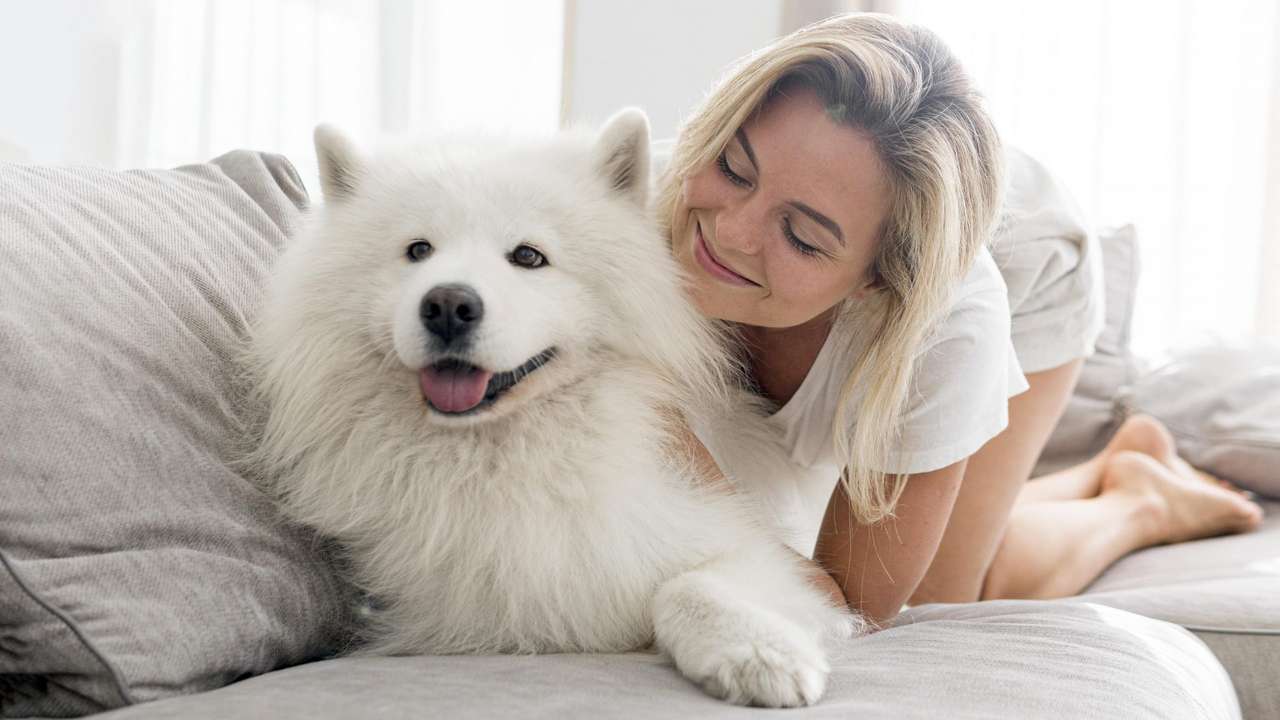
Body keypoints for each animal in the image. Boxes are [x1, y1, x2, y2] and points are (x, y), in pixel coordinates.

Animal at [240, 109, 860, 702]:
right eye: (417, 251)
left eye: (528, 256)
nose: (447, 305)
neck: (507, 456)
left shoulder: (758, 553)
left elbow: (686, 585)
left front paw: (759, 654)